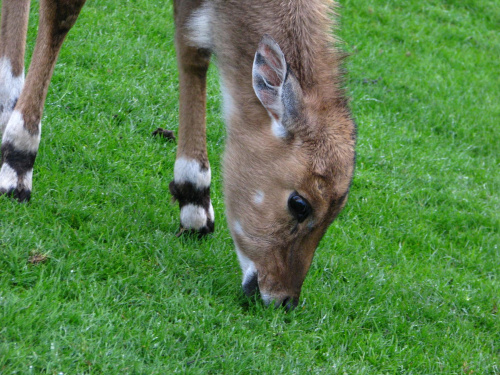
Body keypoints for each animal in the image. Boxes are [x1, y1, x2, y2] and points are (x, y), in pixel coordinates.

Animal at [1, 0, 358, 312]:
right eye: (299, 203)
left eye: (337, 212)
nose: (284, 300)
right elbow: (63, 14)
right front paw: (18, 162)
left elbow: (194, 47)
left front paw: (195, 202)